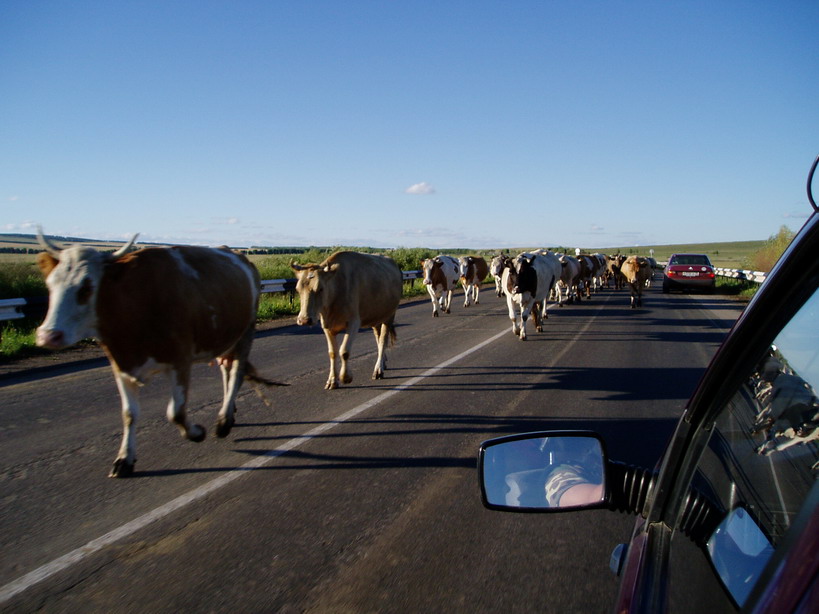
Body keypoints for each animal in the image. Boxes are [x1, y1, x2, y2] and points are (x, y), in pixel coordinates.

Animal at [35, 233, 280, 478]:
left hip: (246, 332)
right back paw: (229, 411)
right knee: (226, 370)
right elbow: (129, 414)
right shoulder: (120, 364)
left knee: (237, 372)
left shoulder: (180, 361)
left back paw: (224, 421)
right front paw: (124, 459)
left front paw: (197, 432)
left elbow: (176, 412)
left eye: (86, 286)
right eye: (50, 284)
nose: (48, 335)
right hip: (224, 337)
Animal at [292, 251, 404, 390]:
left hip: (389, 315)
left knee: (383, 340)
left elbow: (344, 351)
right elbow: (332, 353)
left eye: (320, 288)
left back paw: (378, 369)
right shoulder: (326, 326)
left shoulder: (353, 322)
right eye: (298, 289)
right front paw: (332, 381)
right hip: (376, 317)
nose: (304, 320)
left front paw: (345, 377)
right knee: (378, 338)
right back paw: (382, 362)